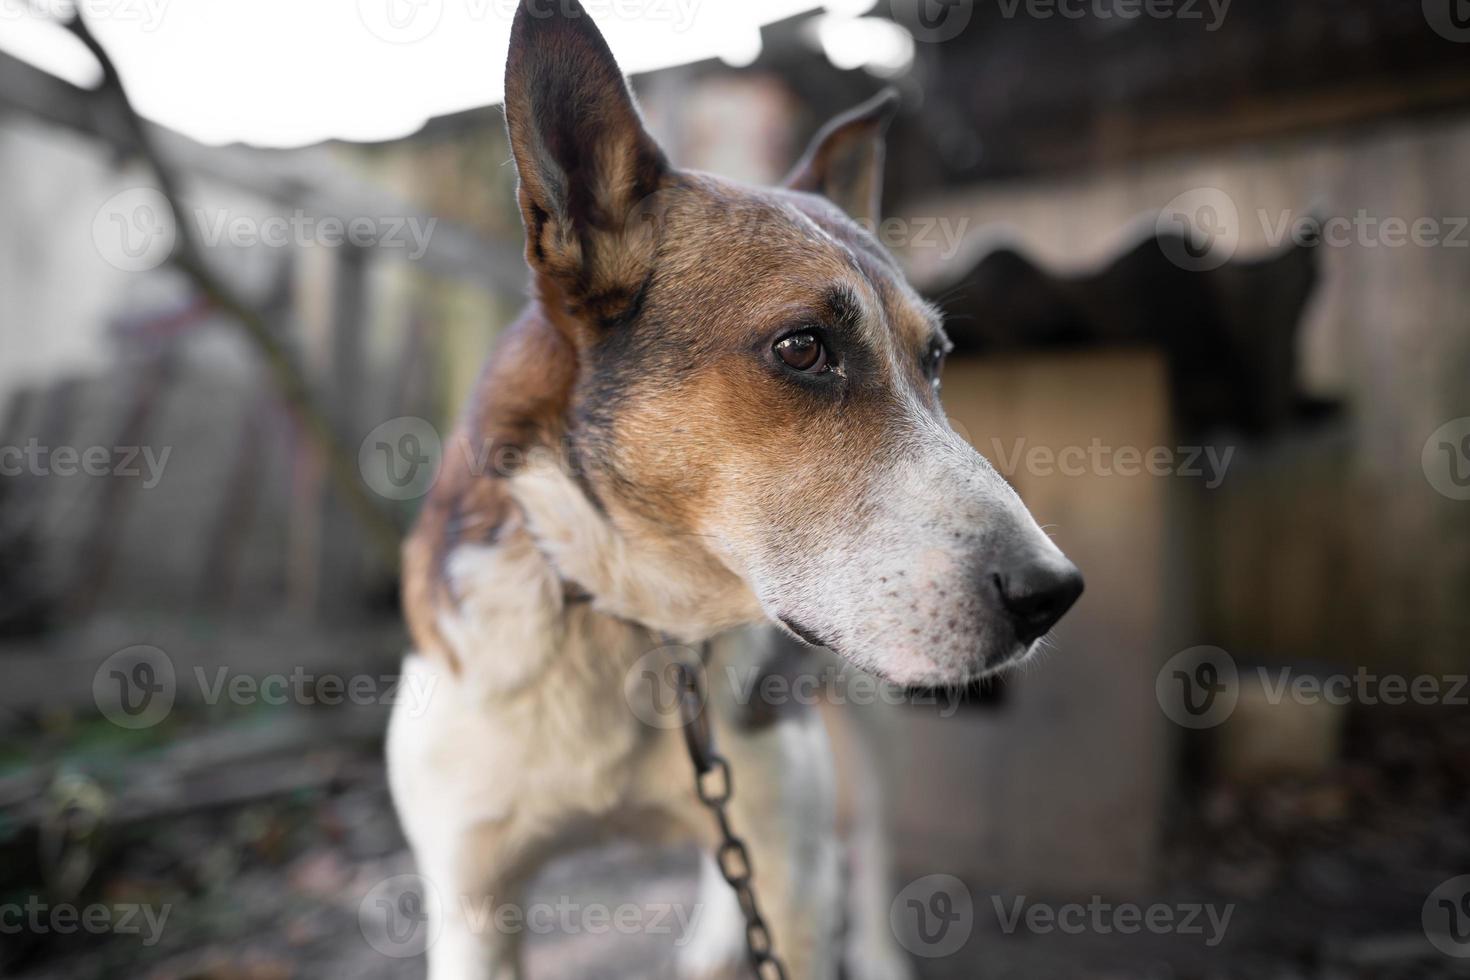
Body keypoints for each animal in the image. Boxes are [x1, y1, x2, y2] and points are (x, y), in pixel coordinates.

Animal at [385, 3, 1087, 975]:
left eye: (938, 362)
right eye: (802, 348)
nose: (1052, 594)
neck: (631, 619)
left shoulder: (790, 867)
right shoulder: (472, 903)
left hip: (870, 716)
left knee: (867, 843)